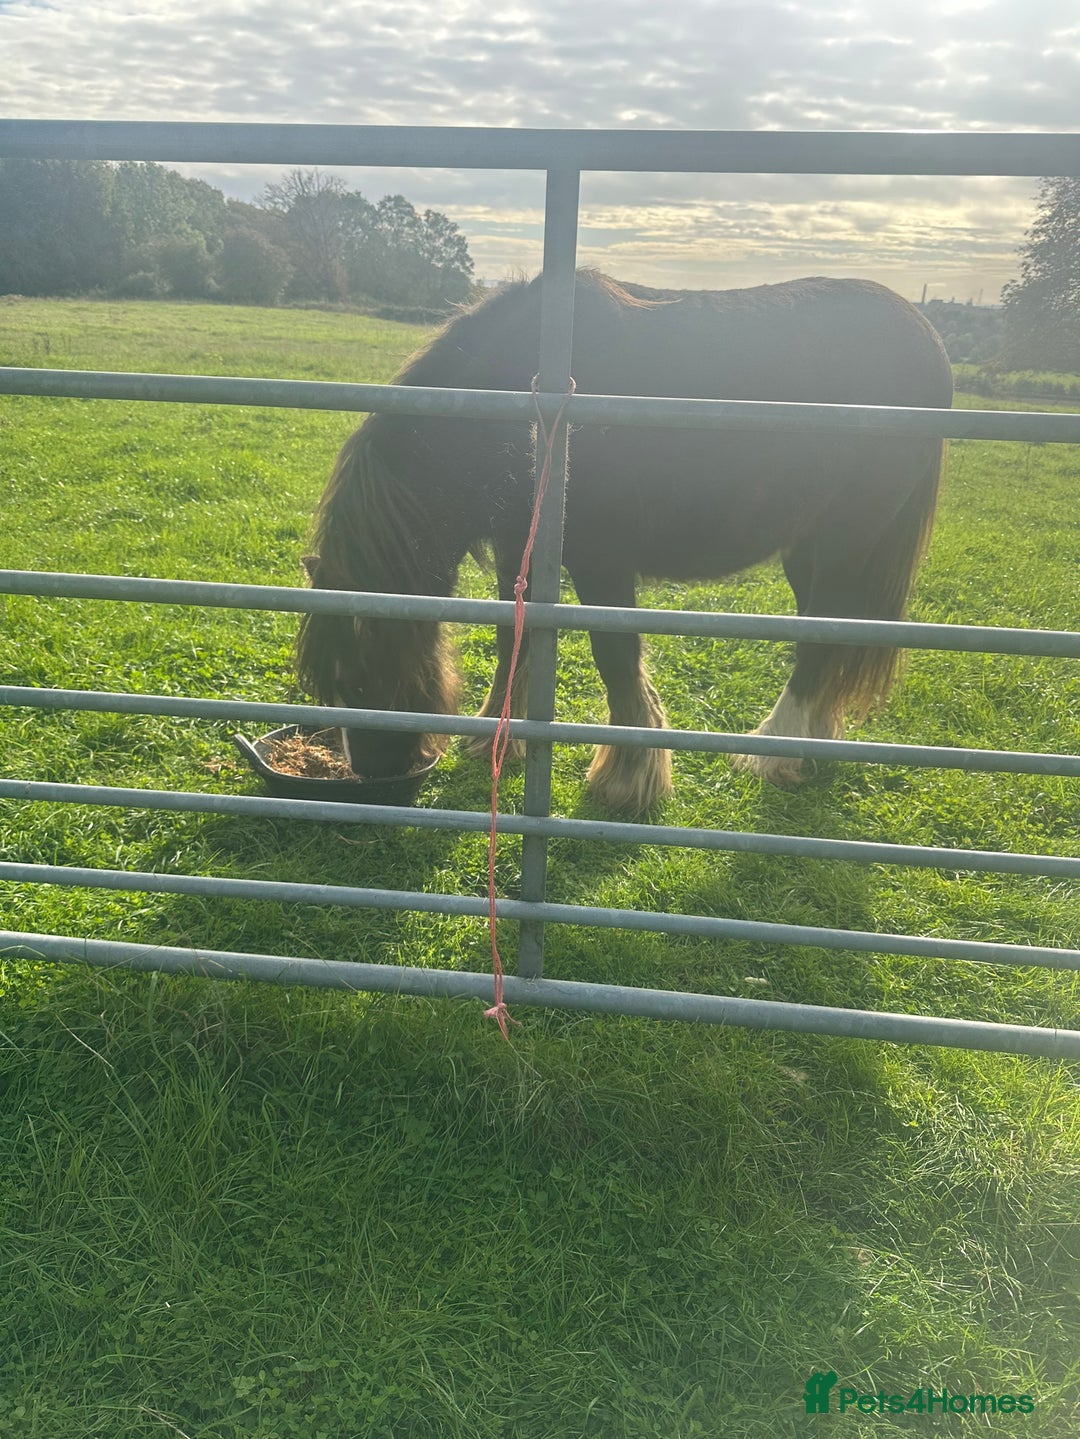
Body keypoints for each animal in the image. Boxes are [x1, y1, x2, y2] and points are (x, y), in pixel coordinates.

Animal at [297, 269, 952, 814]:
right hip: (808, 550)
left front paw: (629, 778)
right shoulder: (518, 551)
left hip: (848, 540)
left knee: (820, 641)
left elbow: (615, 656)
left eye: (358, 671)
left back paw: (772, 753)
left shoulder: (601, 561)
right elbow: (515, 638)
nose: (374, 772)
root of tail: (926, 337)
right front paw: (497, 740)